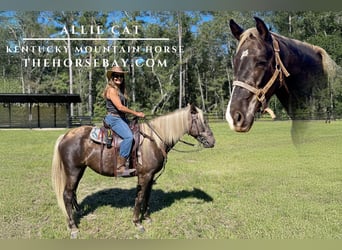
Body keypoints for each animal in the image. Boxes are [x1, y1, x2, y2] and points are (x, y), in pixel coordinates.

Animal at [51, 104, 214, 238]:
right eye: (203, 121)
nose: (212, 142)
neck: (154, 140)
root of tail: (65, 135)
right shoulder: (144, 176)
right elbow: (140, 197)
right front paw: (137, 222)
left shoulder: (150, 176)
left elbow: (147, 196)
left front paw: (147, 217)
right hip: (73, 170)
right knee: (66, 195)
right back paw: (73, 227)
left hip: (80, 170)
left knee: (73, 192)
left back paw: (78, 211)